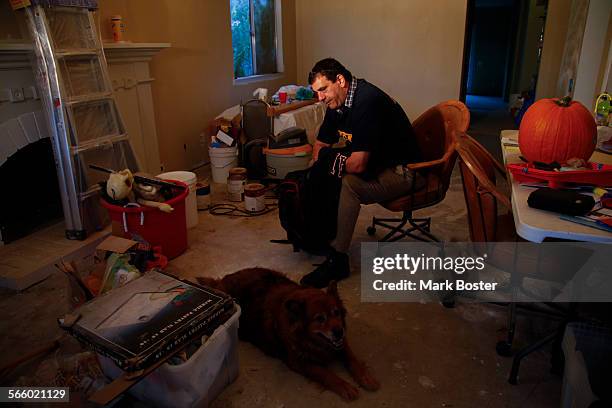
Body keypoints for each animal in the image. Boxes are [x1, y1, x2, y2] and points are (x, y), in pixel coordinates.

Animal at [197, 268, 378, 402]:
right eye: (320, 318)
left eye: (336, 313)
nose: (339, 331)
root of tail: (221, 281)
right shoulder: (297, 361)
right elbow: (326, 373)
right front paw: (345, 386)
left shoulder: (340, 343)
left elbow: (351, 357)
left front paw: (365, 376)